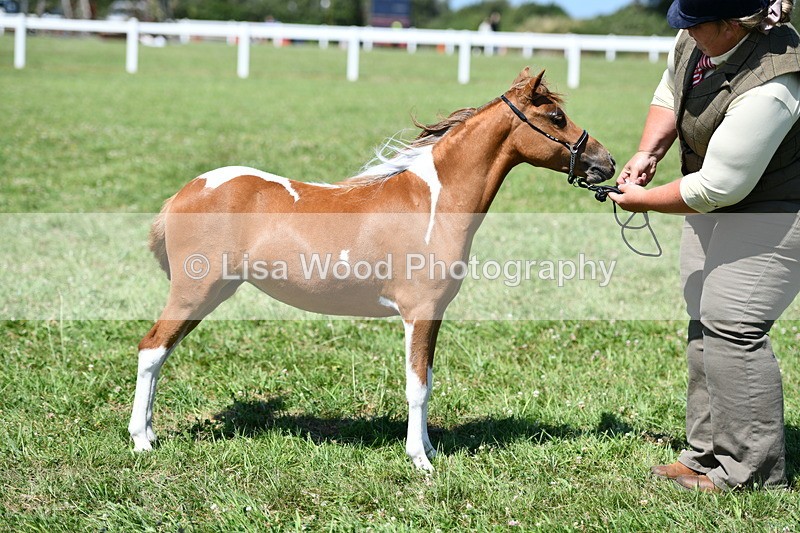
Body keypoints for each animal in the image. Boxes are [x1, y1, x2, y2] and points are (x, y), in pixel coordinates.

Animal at [128, 67, 616, 471]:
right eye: (556, 117)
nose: (606, 163)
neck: (433, 203)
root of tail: (187, 191)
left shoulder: (434, 315)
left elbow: (428, 380)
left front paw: (430, 447)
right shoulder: (418, 313)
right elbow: (417, 386)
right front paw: (420, 461)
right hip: (195, 292)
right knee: (152, 349)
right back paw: (142, 441)